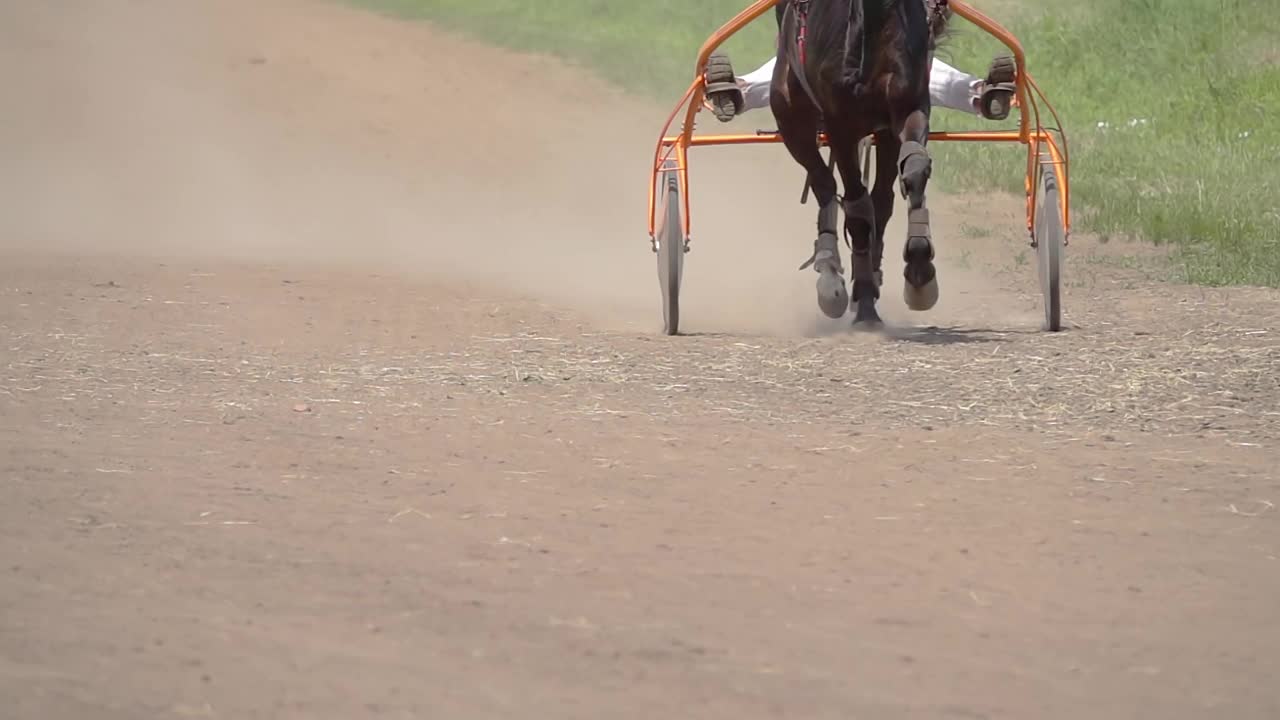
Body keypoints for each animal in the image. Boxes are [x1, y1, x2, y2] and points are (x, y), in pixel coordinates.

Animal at [768, 0, 952, 325]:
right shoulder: (840, 125)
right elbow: (856, 208)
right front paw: (864, 297)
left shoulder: (905, 109)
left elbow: (913, 171)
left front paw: (919, 273)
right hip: (789, 113)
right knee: (825, 185)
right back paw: (830, 272)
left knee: (880, 199)